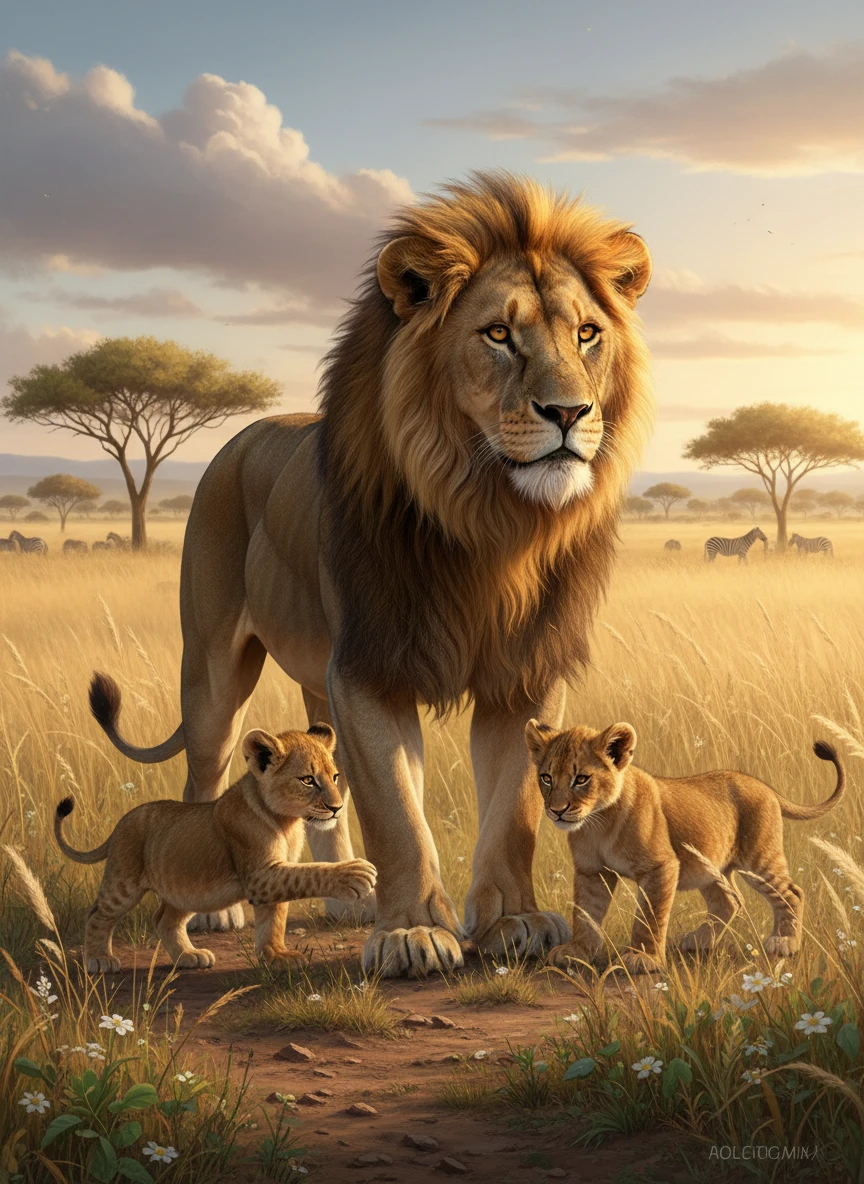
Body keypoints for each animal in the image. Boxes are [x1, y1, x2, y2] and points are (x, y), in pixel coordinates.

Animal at [55, 721, 377, 973]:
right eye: (308, 780)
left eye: (334, 777)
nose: (337, 808)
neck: (285, 820)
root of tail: (123, 821)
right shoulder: (262, 874)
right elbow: (309, 874)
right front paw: (355, 874)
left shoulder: (271, 877)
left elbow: (274, 918)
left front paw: (275, 956)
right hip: (124, 883)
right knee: (97, 913)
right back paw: (98, 960)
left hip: (185, 891)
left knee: (163, 919)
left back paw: (189, 956)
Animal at [525, 719, 846, 972]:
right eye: (546, 778)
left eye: (581, 779)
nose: (556, 811)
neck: (598, 822)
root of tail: (765, 787)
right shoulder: (592, 871)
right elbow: (585, 912)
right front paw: (578, 952)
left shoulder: (661, 866)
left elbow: (649, 916)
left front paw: (643, 959)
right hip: (708, 866)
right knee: (729, 901)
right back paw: (700, 941)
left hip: (759, 858)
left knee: (791, 892)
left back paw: (785, 942)